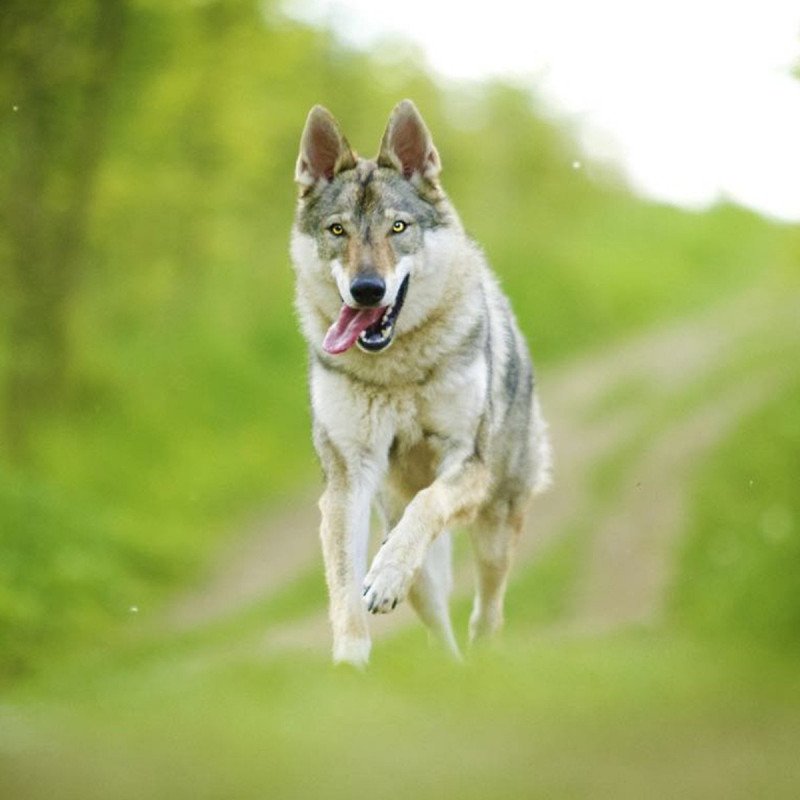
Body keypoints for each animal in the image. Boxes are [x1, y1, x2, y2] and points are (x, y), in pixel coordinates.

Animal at [290, 100, 552, 664]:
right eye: (338, 231)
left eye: (398, 227)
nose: (368, 290)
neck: (398, 371)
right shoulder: (348, 479)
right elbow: (345, 589)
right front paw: (350, 665)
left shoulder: (468, 463)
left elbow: (428, 503)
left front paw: (385, 575)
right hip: (413, 557)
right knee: (438, 622)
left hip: (495, 527)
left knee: (486, 611)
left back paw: (483, 659)